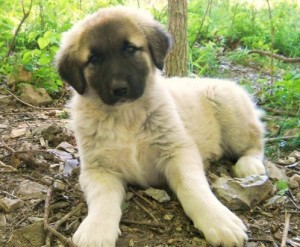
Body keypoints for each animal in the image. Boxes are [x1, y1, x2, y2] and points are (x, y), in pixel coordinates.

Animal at [55, 5, 266, 247]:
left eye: (130, 49)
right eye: (94, 59)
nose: (119, 89)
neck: (126, 116)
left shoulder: (178, 151)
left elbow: (192, 187)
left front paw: (218, 220)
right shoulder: (98, 168)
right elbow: (103, 198)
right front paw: (96, 230)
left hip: (228, 106)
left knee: (257, 142)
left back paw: (250, 164)